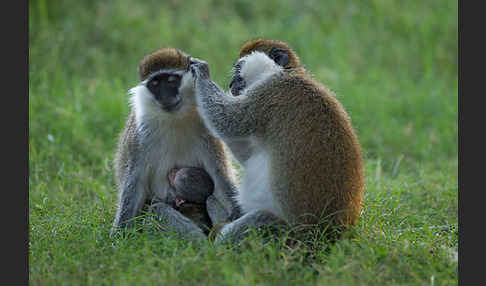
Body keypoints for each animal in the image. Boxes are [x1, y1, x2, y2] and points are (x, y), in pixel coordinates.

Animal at [110, 47, 239, 239]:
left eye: (171, 80)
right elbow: (134, 182)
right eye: (155, 84)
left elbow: (220, 175)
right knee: (157, 208)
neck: (175, 118)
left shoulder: (207, 127)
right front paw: (118, 236)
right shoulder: (139, 136)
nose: (165, 97)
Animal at [190, 38, 364, 244]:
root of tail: (331, 236)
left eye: (238, 69)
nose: (232, 83)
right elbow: (247, 152)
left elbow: (227, 121)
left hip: (286, 235)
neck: (282, 72)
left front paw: (201, 73)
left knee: (262, 218)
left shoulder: (270, 92)